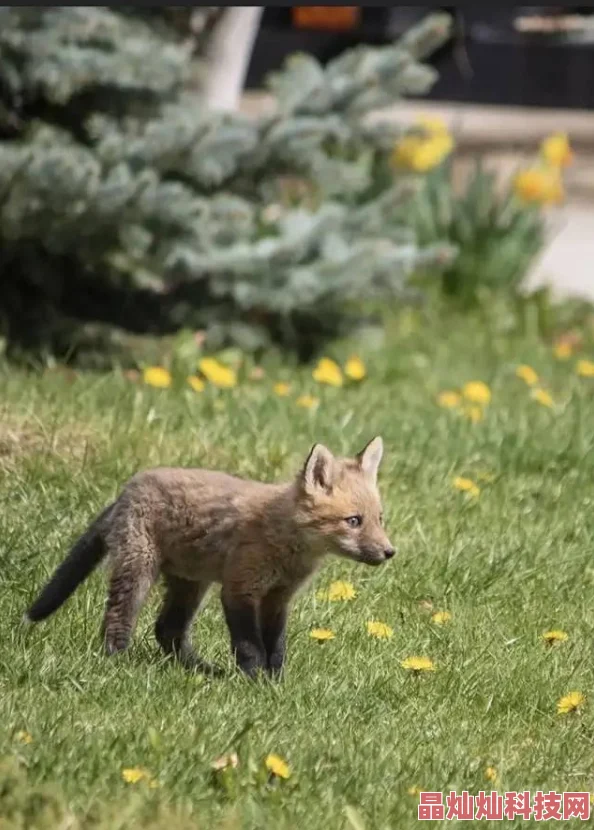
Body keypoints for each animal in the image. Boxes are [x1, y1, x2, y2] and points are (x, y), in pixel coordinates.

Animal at [25, 438, 394, 680]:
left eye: (379, 519)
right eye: (353, 521)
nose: (390, 552)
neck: (286, 541)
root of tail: (129, 486)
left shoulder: (278, 597)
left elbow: (276, 646)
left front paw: (276, 682)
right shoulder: (239, 588)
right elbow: (250, 645)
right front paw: (254, 681)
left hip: (191, 583)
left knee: (167, 630)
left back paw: (200, 669)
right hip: (139, 570)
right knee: (118, 618)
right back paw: (118, 660)